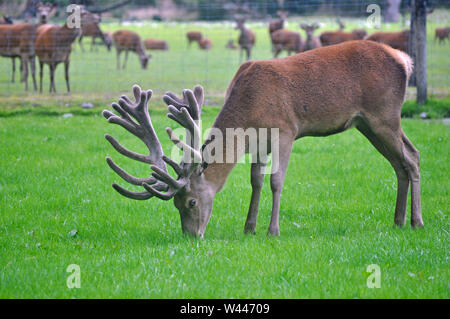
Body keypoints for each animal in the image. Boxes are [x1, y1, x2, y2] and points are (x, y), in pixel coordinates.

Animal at [103, 40, 424, 239]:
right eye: (176, 206)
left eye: (191, 202)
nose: (191, 236)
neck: (250, 109)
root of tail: (405, 60)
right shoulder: (258, 142)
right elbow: (255, 180)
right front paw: (249, 228)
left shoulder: (286, 130)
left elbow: (276, 181)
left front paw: (273, 230)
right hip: (368, 124)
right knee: (401, 161)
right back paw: (398, 221)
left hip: (384, 115)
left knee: (412, 157)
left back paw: (417, 221)